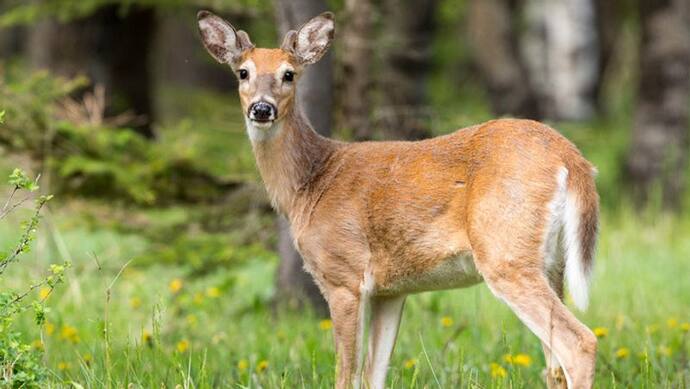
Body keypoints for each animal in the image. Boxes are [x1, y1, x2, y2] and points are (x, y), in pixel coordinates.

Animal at [198, 9, 596, 388]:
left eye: (289, 74)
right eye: (243, 73)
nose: (262, 108)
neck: (310, 185)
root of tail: (572, 158)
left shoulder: (345, 275)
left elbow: (346, 376)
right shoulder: (390, 291)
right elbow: (373, 375)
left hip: (506, 252)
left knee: (580, 343)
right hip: (551, 264)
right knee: (554, 368)